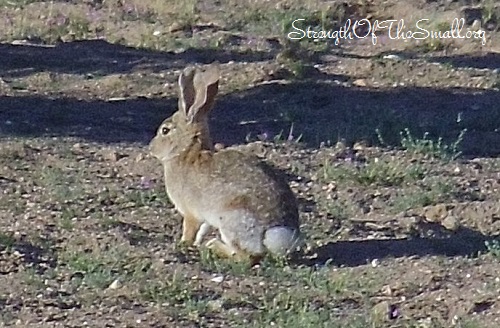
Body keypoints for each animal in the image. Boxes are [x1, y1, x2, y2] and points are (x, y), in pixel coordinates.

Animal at [148, 63, 302, 264]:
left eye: (165, 131)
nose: (151, 148)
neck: (187, 152)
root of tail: (277, 236)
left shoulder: (191, 213)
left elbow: (189, 230)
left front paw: (183, 243)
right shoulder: (205, 218)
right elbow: (202, 229)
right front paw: (196, 243)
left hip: (231, 219)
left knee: (246, 257)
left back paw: (214, 246)